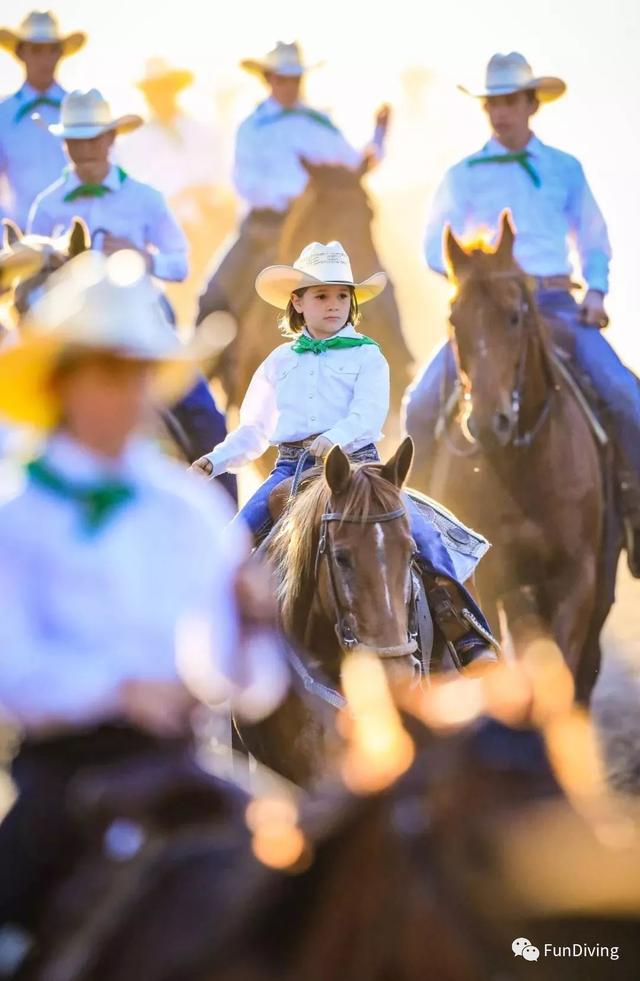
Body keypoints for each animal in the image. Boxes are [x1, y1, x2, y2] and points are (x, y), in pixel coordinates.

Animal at [404, 214, 616, 704]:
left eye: (515, 317)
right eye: (454, 320)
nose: (488, 422)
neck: (525, 471)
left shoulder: (576, 578)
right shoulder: (493, 579)